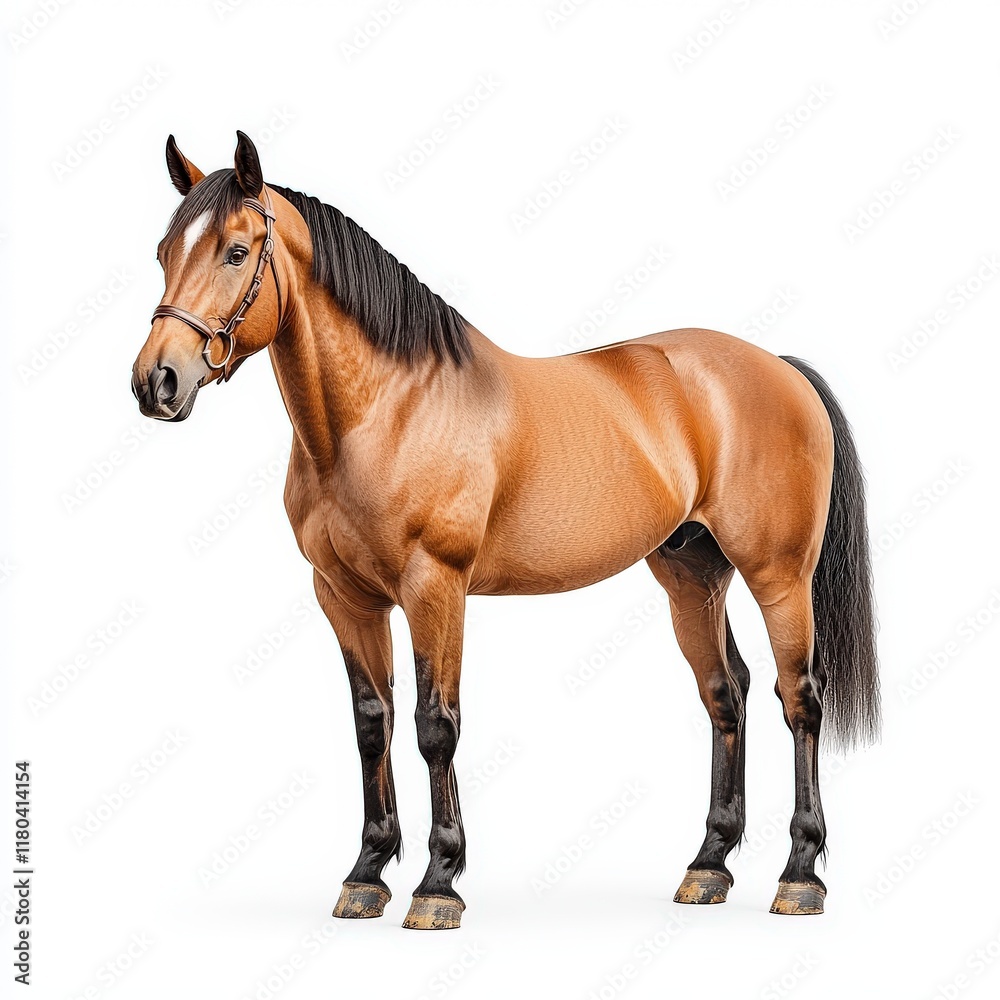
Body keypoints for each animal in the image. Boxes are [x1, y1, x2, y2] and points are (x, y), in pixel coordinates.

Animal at [131, 132, 879, 929]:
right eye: (164, 251)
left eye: (236, 251)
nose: (157, 381)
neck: (387, 410)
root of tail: (780, 369)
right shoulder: (344, 596)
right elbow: (372, 723)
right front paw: (367, 873)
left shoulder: (435, 588)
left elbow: (435, 725)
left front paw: (438, 883)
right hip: (691, 575)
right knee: (725, 693)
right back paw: (708, 866)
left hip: (780, 576)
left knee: (799, 699)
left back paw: (799, 876)